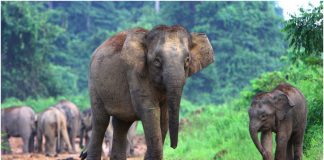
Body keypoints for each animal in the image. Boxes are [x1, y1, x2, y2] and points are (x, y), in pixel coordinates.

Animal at [80, 24, 213, 159]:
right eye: (157, 61)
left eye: (187, 59)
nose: (173, 146)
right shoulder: (135, 74)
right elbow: (150, 112)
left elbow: (163, 118)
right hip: (94, 84)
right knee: (101, 121)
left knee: (121, 124)